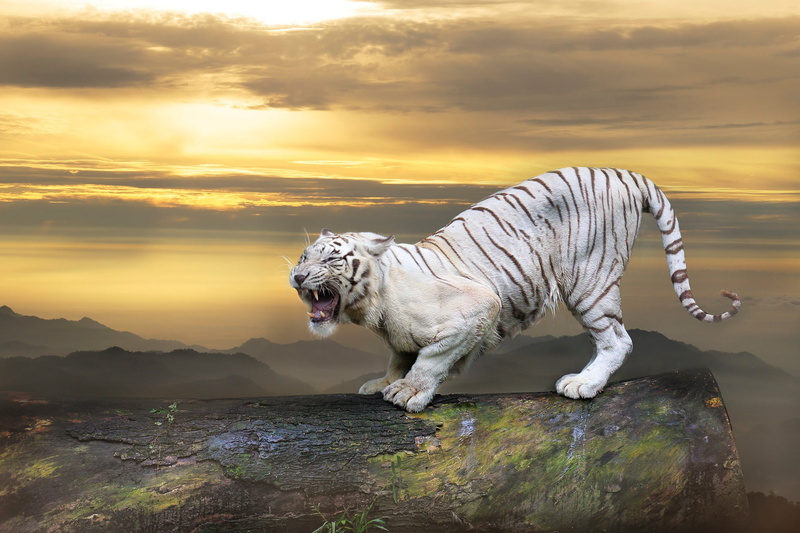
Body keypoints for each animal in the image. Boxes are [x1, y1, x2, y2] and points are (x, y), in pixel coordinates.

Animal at [289, 167, 740, 413]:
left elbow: (432, 358)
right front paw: (384, 381)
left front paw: (408, 391)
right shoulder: (399, 339)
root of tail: (623, 173)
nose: (296, 277)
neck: (373, 305)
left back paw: (584, 384)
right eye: (302, 256)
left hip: (589, 281)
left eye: (330, 260)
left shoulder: (479, 307)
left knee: (617, 339)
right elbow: (400, 355)